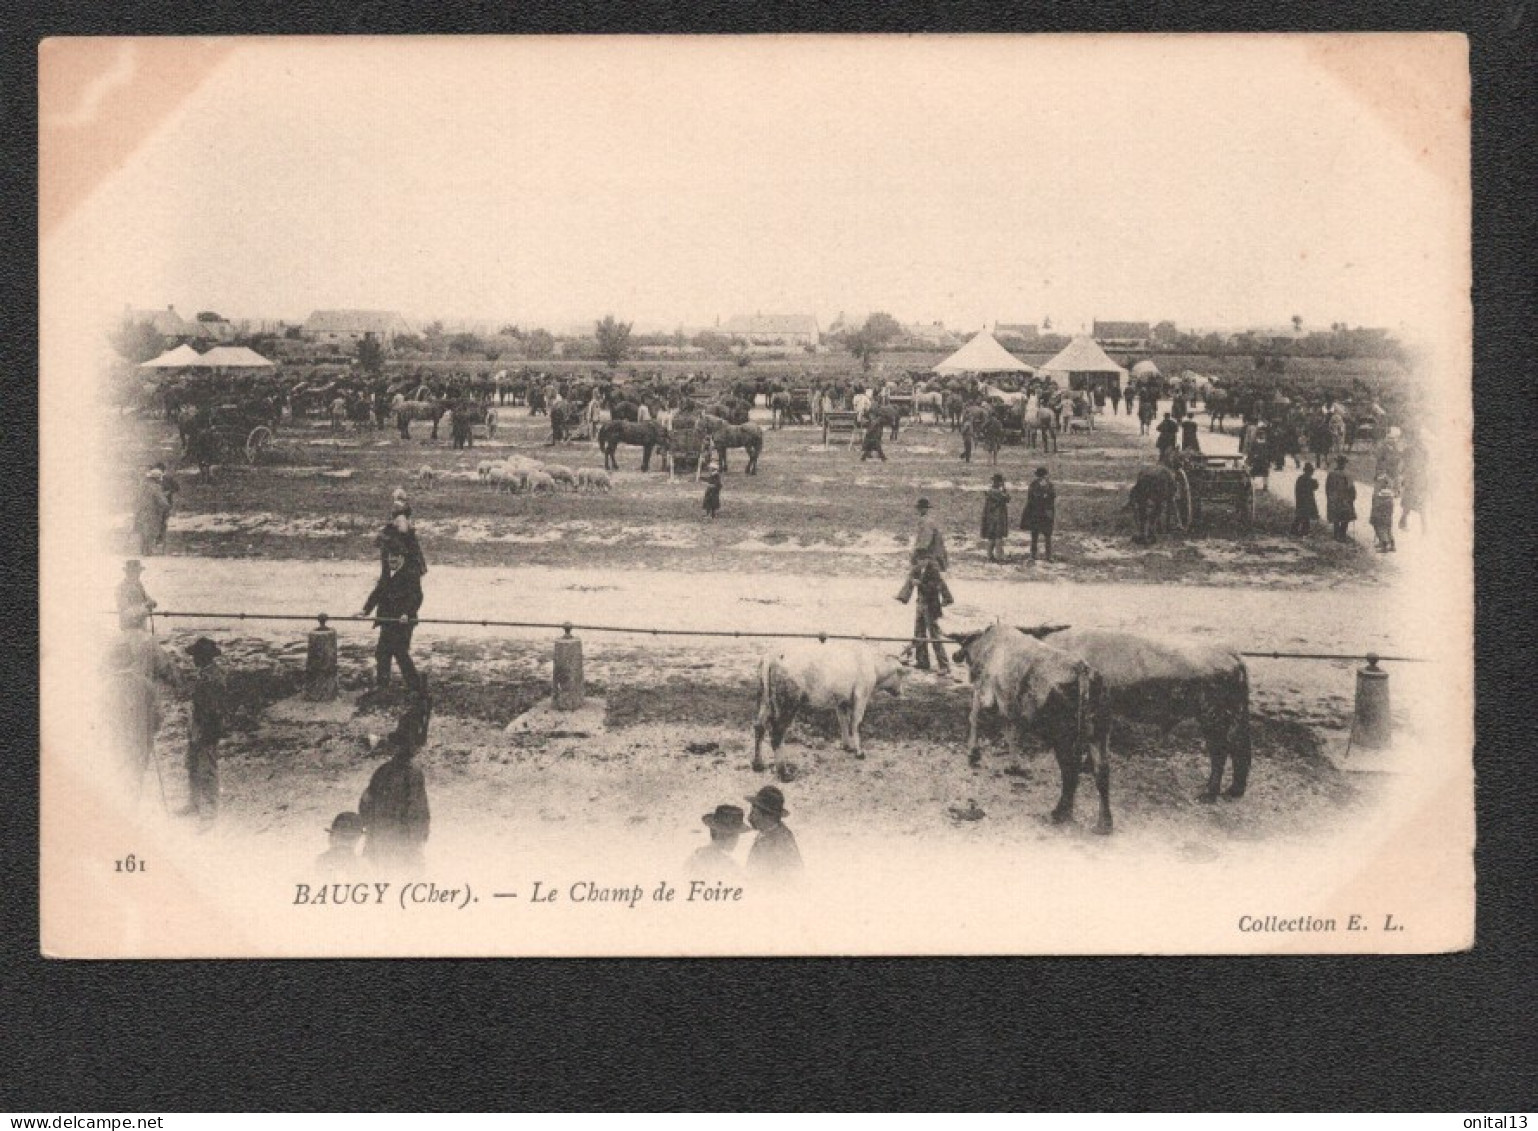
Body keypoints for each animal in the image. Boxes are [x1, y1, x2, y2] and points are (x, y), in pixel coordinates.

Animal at [750, 640, 904, 775]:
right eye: (900, 674)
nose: (899, 692)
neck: (874, 664)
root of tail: (771, 656)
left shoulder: (841, 701)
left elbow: (843, 722)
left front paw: (846, 746)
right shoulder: (861, 696)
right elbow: (855, 723)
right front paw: (859, 752)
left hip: (765, 700)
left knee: (759, 726)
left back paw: (758, 764)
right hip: (788, 704)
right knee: (777, 733)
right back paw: (784, 773)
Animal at [947, 624, 1119, 837]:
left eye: (965, 641)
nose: (955, 655)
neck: (988, 645)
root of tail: (1082, 669)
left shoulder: (984, 693)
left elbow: (975, 718)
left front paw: (973, 753)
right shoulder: (1010, 707)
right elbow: (1011, 733)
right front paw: (1013, 764)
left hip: (1062, 738)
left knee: (1070, 770)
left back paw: (1060, 813)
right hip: (1099, 734)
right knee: (1101, 771)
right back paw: (1104, 823)